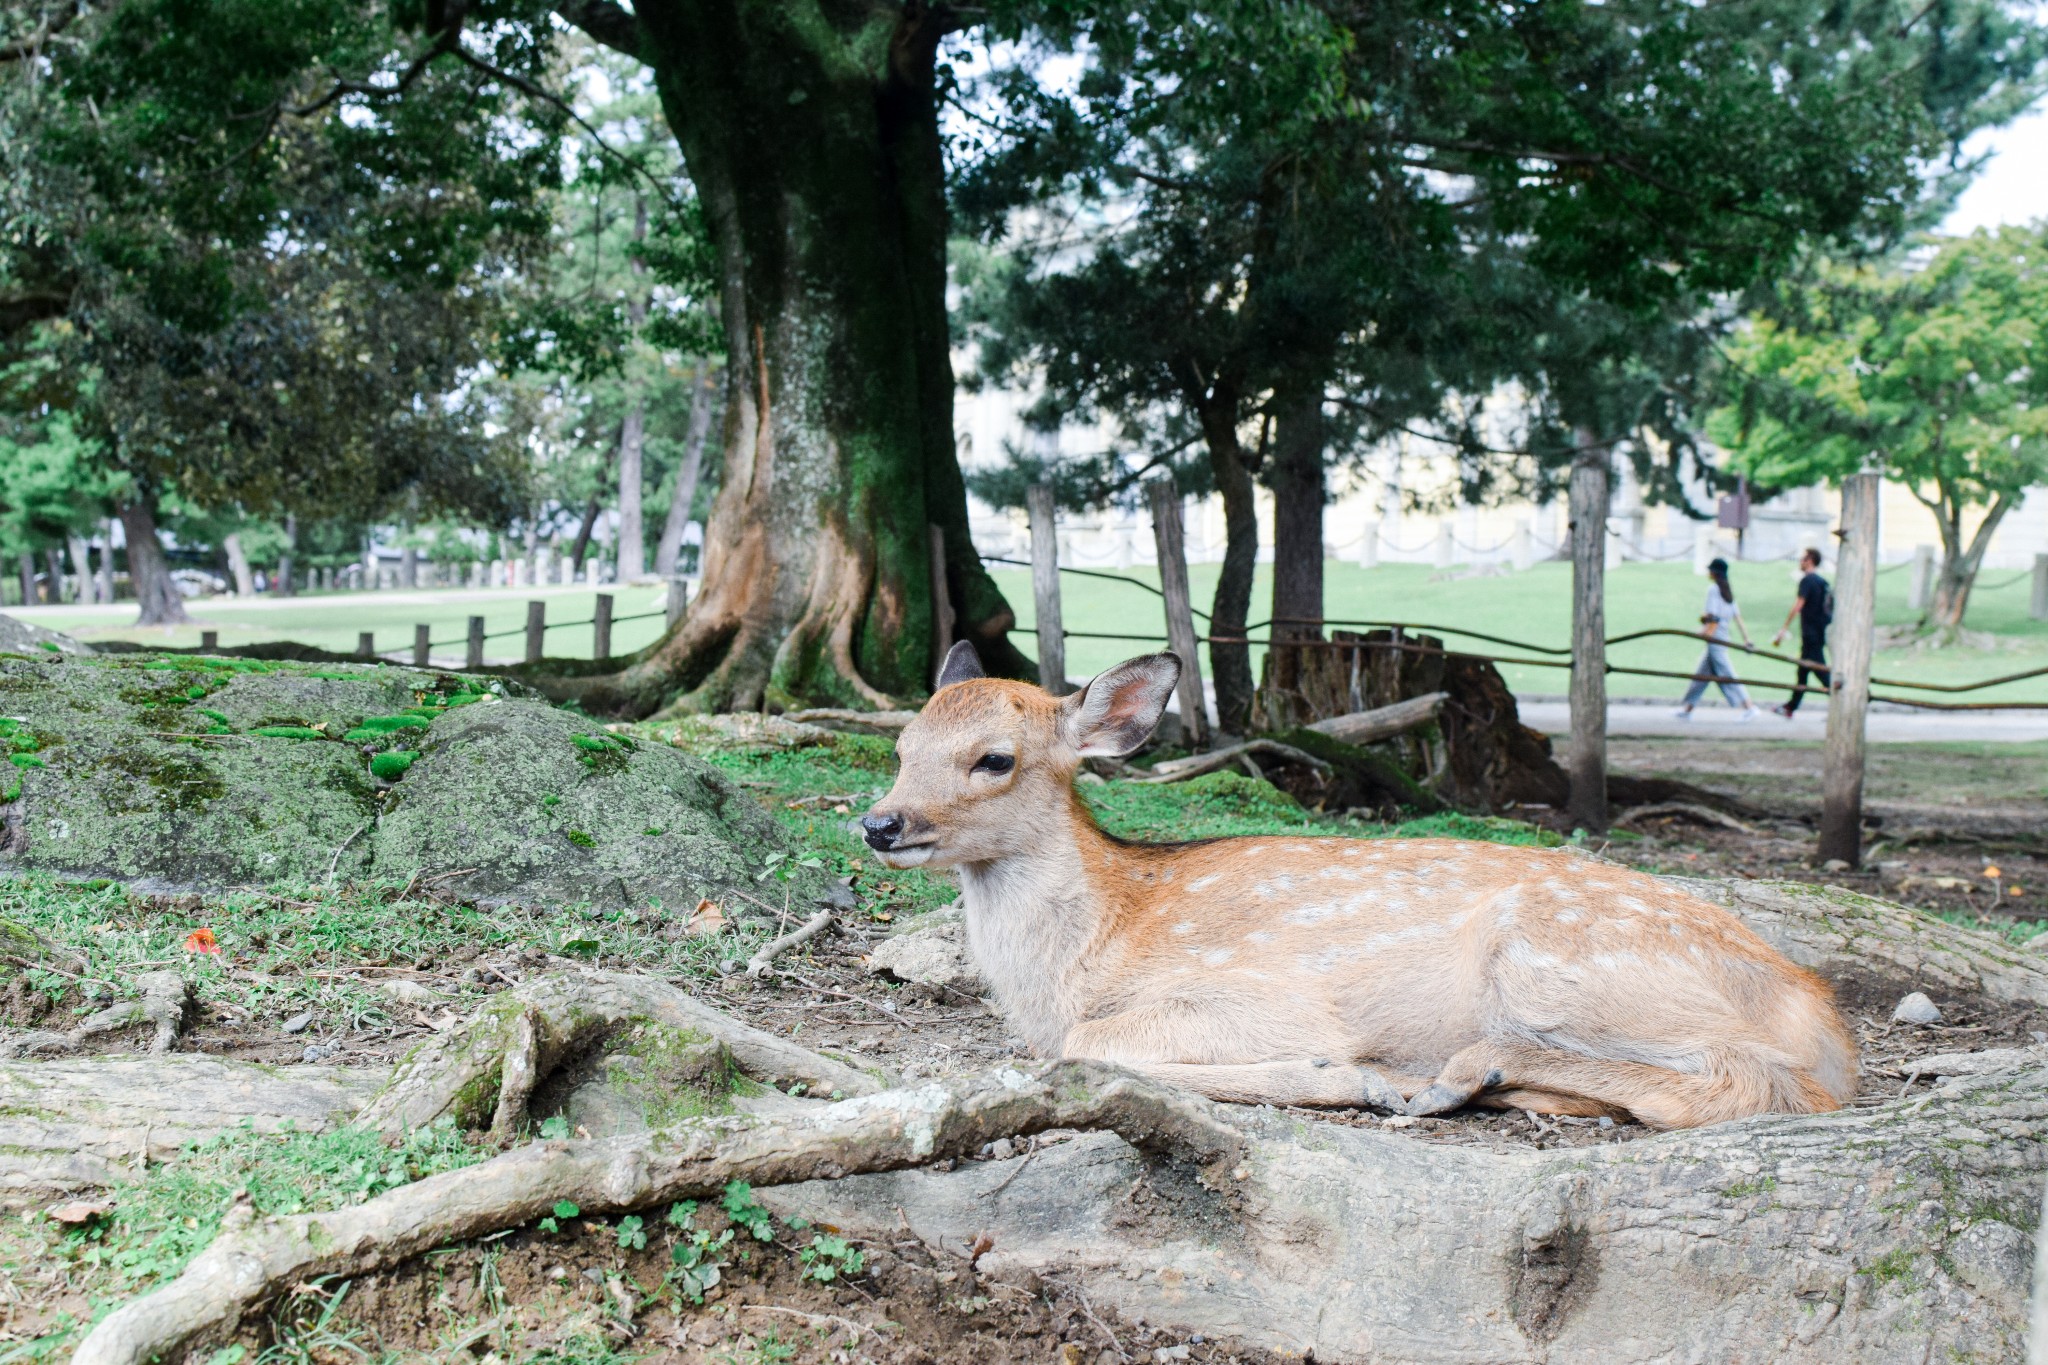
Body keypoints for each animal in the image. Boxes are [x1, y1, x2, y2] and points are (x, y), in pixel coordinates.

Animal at [856, 642, 1867, 1129]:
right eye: (901, 745)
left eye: (995, 758)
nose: (880, 822)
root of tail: (1826, 1020)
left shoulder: (1260, 994)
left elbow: (1087, 1045)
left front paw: (1347, 1077)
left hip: (1566, 964)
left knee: (1755, 1083)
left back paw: (1459, 1073)